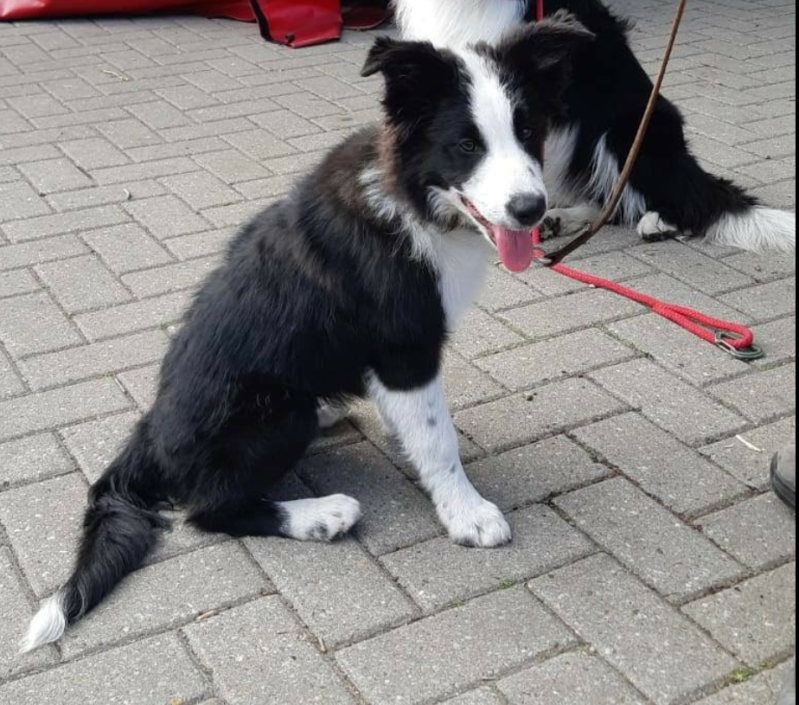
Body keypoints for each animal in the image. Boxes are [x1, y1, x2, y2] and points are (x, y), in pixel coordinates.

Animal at [20, 13, 595, 653]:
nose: (531, 210)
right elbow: (438, 441)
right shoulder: (405, 350)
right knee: (209, 511)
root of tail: (147, 435)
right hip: (275, 411)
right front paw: (466, 513)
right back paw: (321, 515)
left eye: (528, 131)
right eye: (467, 145)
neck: (415, 198)